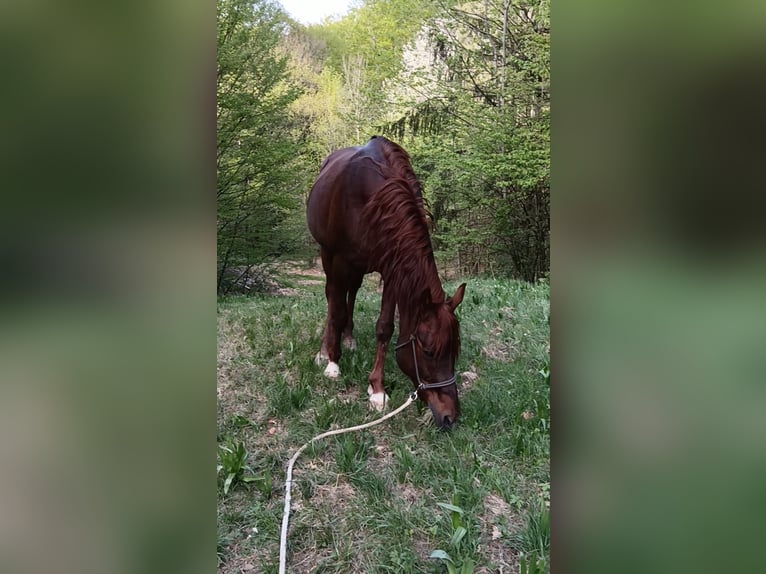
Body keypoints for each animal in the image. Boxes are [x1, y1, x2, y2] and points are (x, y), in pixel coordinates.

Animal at [308, 136, 468, 432]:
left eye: (454, 351)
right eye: (429, 352)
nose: (450, 417)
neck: (372, 197)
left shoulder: (393, 267)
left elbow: (384, 327)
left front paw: (377, 389)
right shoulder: (339, 259)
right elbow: (336, 309)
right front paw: (333, 363)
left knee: (352, 292)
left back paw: (349, 337)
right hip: (327, 255)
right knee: (332, 298)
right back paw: (326, 350)